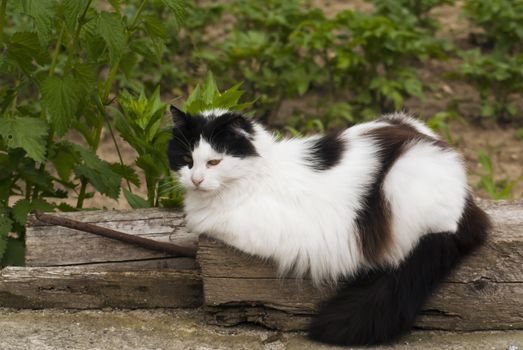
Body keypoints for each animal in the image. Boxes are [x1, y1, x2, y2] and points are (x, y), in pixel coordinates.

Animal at [168, 107, 492, 348]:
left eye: (213, 162)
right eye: (186, 160)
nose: (195, 180)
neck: (260, 172)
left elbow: (209, 222)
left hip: (403, 183)